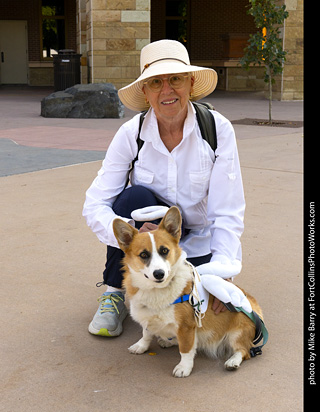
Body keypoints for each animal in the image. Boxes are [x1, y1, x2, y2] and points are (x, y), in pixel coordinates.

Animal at [114, 208, 264, 378]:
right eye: (144, 255)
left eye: (164, 250)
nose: (159, 274)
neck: (157, 291)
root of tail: (254, 306)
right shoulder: (148, 318)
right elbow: (146, 334)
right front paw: (141, 346)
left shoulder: (186, 327)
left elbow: (185, 349)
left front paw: (183, 368)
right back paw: (168, 340)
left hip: (237, 333)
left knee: (244, 350)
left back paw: (233, 361)